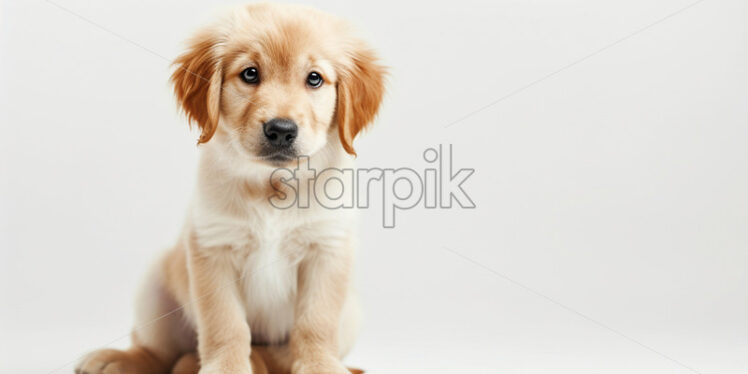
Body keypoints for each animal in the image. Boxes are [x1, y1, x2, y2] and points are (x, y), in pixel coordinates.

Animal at [76, 3, 386, 374]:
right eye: (250, 74)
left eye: (314, 78)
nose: (281, 130)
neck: (272, 184)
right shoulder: (213, 248)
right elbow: (225, 323)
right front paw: (227, 367)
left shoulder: (327, 248)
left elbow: (315, 324)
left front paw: (319, 366)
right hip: (154, 283)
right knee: (158, 350)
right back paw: (119, 358)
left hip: (352, 312)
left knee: (275, 350)